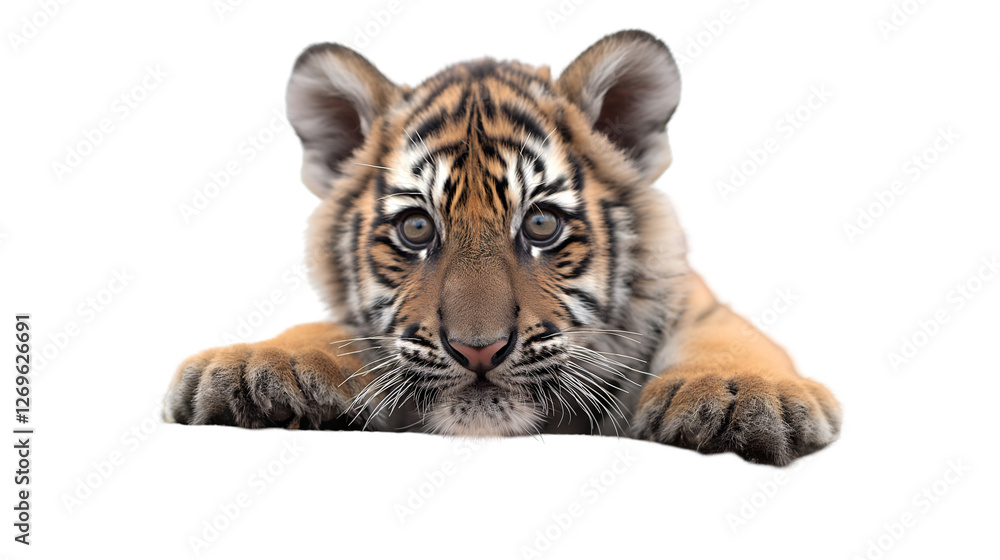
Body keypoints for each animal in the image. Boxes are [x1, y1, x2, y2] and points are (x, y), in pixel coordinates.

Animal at [164, 30, 841, 466]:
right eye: (417, 230)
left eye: (540, 225)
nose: (478, 350)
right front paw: (253, 363)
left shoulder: (693, 301)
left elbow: (726, 335)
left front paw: (741, 395)